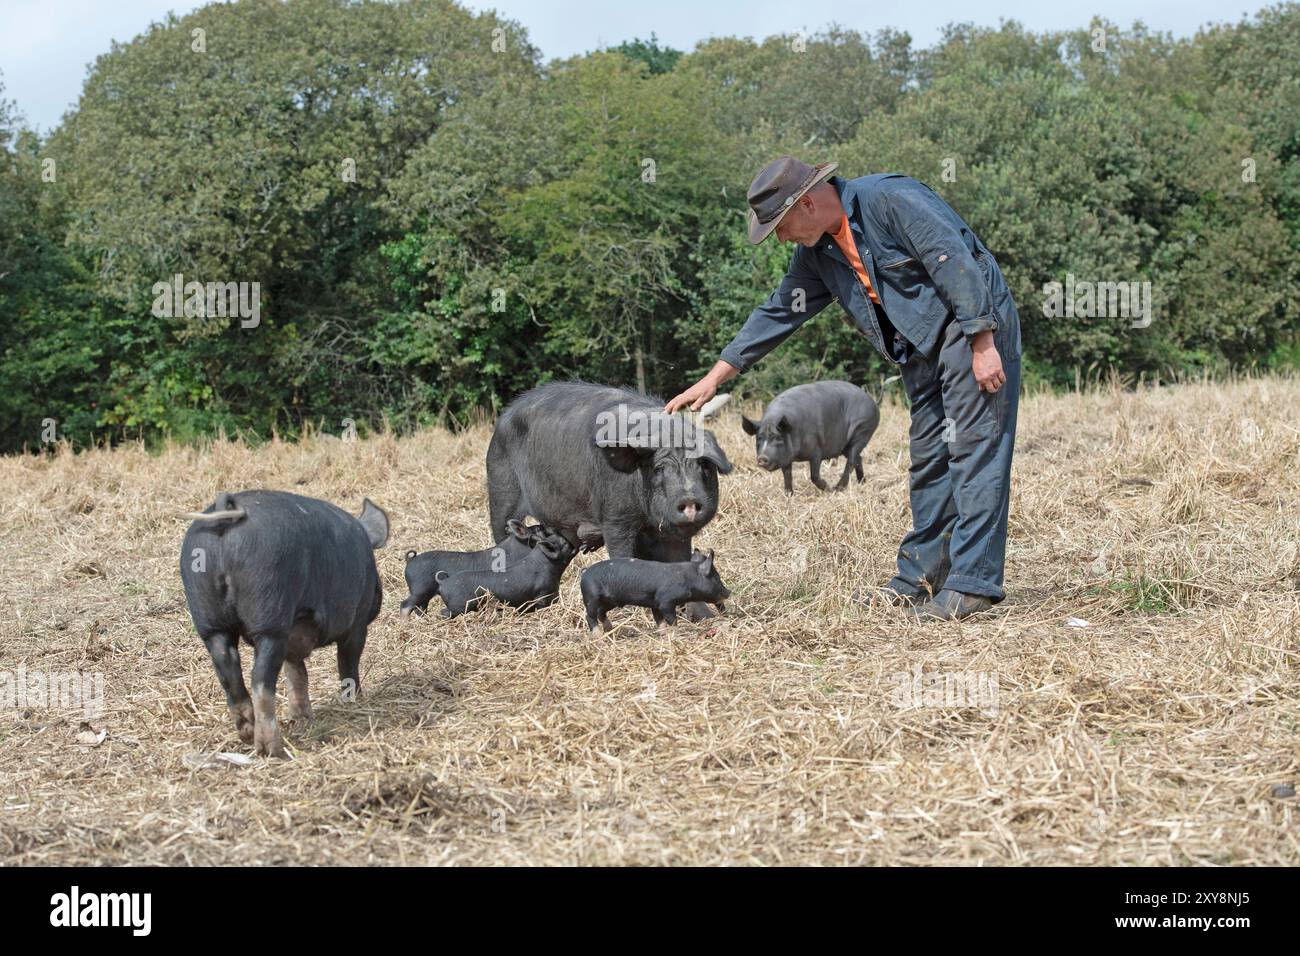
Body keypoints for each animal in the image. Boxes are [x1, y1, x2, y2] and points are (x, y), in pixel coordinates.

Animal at [179, 490, 389, 758]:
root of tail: (226, 512)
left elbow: (297, 672)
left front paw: (301, 719)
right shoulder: (357, 624)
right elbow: (347, 664)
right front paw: (354, 700)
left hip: (210, 622)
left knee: (228, 671)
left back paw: (247, 734)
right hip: (271, 616)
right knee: (260, 680)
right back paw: (271, 750)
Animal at [399, 519, 548, 617]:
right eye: (538, 530)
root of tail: (411, 559)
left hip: (423, 593)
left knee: (419, 608)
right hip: (420, 589)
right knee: (405, 605)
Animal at [486, 381, 733, 618]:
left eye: (702, 465)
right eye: (659, 468)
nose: (689, 497)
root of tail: (503, 419)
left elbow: (680, 560)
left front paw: (705, 617)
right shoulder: (615, 517)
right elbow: (621, 552)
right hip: (500, 489)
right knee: (502, 532)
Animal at [580, 550, 731, 633]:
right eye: (716, 578)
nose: (729, 592)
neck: (687, 579)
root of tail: (584, 572)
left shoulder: (655, 603)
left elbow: (660, 621)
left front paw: (663, 634)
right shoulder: (666, 602)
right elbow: (672, 620)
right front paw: (675, 634)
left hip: (609, 601)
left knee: (601, 612)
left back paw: (609, 630)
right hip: (591, 597)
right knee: (589, 616)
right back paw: (598, 635)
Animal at [741, 380, 880, 494]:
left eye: (778, 438)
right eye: (759, 438)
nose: (762, 458)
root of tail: (872, 402)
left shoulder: (816, 451)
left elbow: (814, 475)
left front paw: (827, 488)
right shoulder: (786, 456)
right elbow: (787, 475)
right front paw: (788, 494)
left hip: (863, 430)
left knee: (851, 460)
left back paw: (837, 488)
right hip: (846, 445)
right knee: (858, 458)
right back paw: (862, 482)